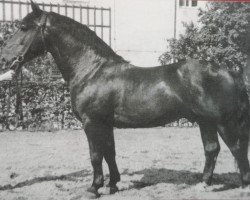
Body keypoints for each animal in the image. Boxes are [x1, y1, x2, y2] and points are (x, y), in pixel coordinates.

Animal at [0, 1, 250, 198]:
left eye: (23, 28)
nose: (4, 58)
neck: (92, 70)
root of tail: (231, 73)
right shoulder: (106, 124)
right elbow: (109, 152)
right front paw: (113, 185)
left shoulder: (92, 122)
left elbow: (95, 155)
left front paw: (94, 188)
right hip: (205, 122)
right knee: (212, 149)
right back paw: (203, 184)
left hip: (223, 122)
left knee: (237, 149)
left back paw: (243, 186)